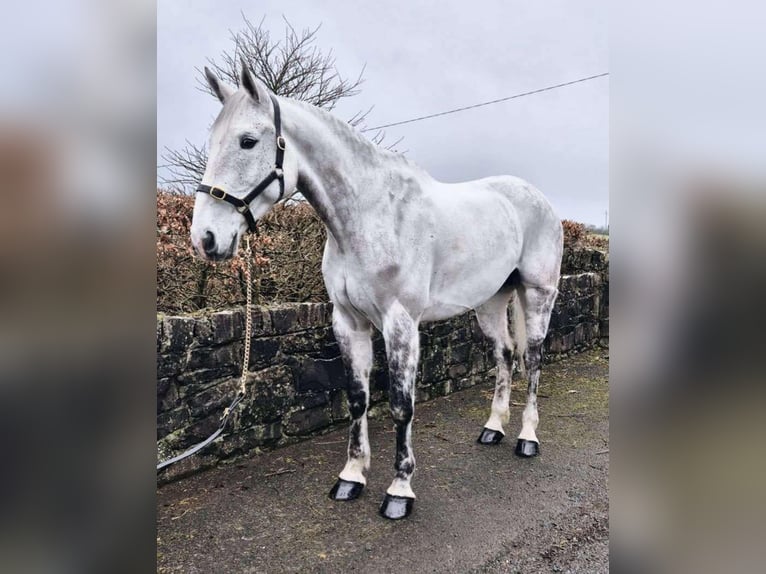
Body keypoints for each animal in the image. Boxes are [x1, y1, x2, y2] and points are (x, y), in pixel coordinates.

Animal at [192, 64, 564, 520]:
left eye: (247, 140)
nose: (205, 238)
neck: (371, 217)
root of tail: (536, 199)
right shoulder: (348, 322)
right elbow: (358, 398)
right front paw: (351, 477)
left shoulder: (401, 323)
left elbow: (402, 405)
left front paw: (399, 490)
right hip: (491, 302)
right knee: (505, 355)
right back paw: (493, 428)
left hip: (537, 294)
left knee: (533, 358)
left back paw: (527, 438)